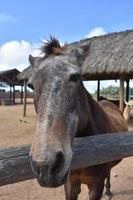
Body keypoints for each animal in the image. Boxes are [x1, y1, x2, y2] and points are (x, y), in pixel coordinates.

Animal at [28, 36, 128, 199]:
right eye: (30, 85)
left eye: (76, 77)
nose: (46, 166)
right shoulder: (71, 184)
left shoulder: (96, 186)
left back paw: (108, 190)